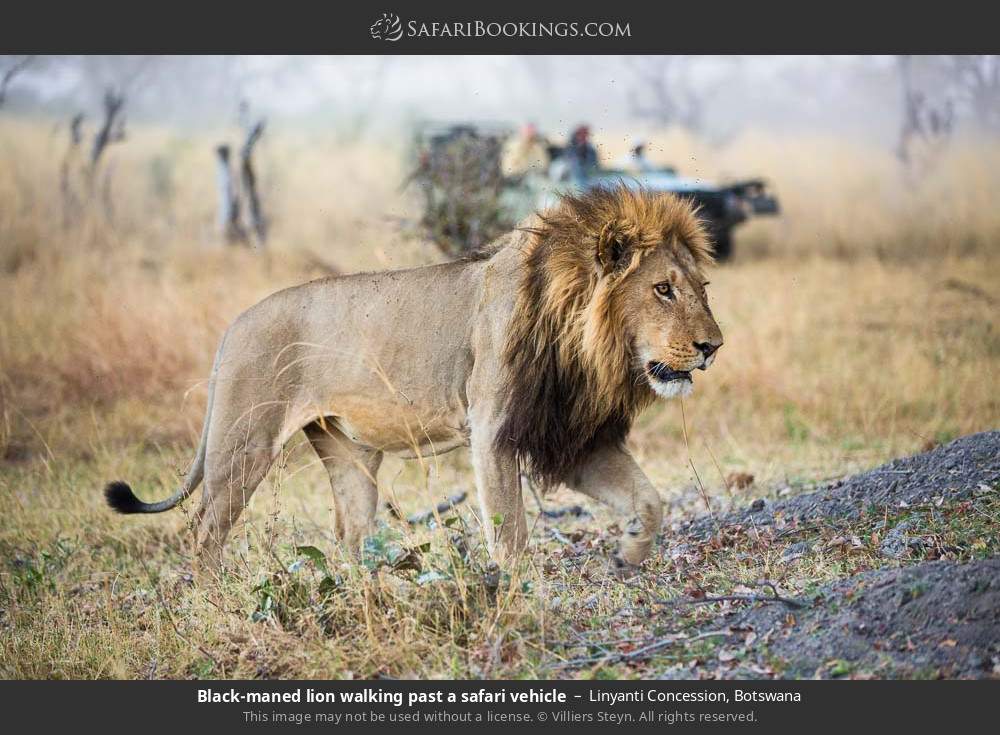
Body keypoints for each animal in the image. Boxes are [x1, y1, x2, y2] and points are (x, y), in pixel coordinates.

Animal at [105, 187, 724, 572]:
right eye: (663, 290)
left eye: (700, 289)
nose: (712, 348)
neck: (583, 344)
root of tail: (232, 327)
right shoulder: (493, 431)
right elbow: (510, 534)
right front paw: (522, 594)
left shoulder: (572, 438)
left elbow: (649, 500)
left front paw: (629, 554)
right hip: (243, 445)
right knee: (204, 533)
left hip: (349, 457)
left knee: (348, 535)